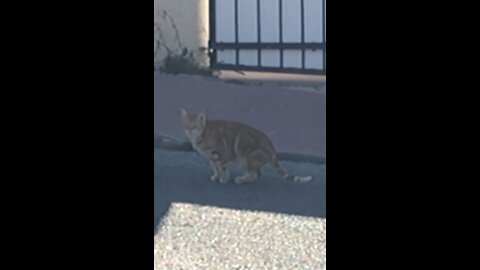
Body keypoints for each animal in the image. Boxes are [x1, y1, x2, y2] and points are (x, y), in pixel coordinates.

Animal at [179, 108, 312, 185]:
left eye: (195, 126)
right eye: (187, 125)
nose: (189, 130)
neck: (202, 134)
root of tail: (273, 149)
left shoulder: (220, 154)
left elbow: (223, 169)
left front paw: (223, 179)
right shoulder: (212, 157)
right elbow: (215, 168)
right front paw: (216, 176)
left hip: (245, 159)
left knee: (255, 175)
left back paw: (241, 179)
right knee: (257, 175)